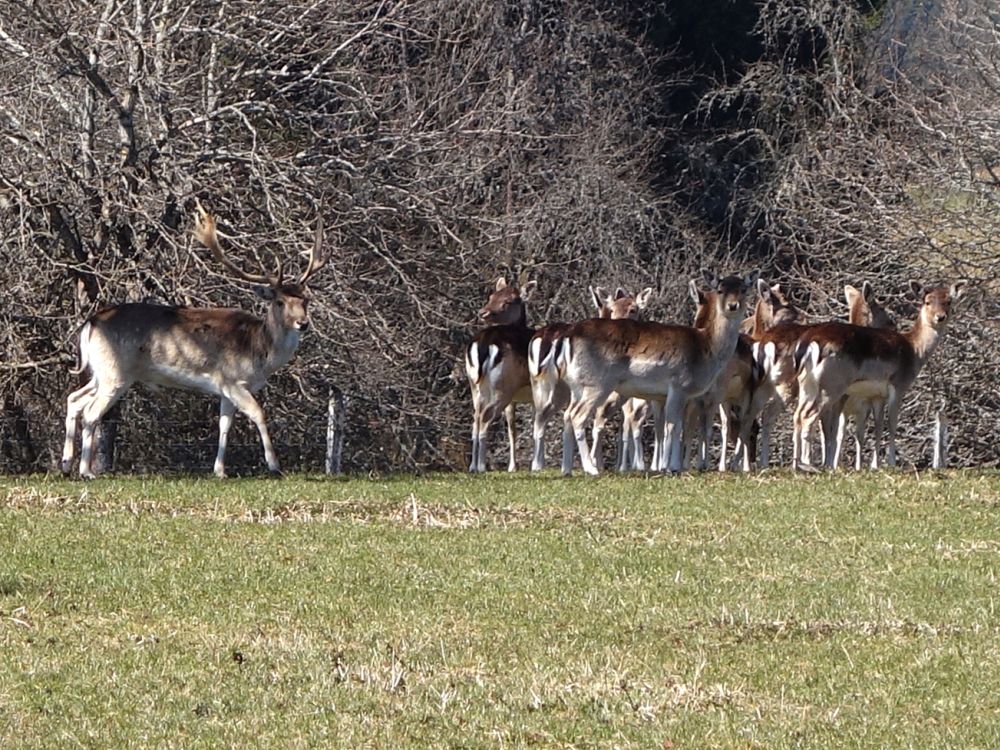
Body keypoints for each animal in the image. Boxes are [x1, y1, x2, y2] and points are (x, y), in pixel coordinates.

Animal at [60, 203, 326, 478]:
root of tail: (89, 324)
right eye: (280, 301)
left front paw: (219, 470)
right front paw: (274, 465)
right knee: (91, 412)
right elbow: (259, 414)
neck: (260, 352)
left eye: (306, 300)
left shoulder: (225, 389)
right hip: (116, 372)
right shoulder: (231, 379)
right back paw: (86, 471)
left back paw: (67, 464)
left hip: (100, 371)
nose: (303, 323)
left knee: (75, 399)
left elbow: (224, 425)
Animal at [464, 276, 536, 476]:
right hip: (502, 387)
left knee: (475, 417)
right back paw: (480, 466)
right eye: (491, 296)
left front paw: (513, 467)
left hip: (476, 386)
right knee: (485, 417)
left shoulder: (515, 399)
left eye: (508, 301)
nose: (483, 312)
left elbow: (512, 428)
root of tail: (482, 345)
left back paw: (472, 466)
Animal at [792, 282, 964, 470]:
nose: (940, 317)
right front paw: (891, 463)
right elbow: (892, 423)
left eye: (949, 301)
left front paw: (875, 465)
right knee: (808, 416)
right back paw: (809, 464)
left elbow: (878, 426)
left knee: (797, 415)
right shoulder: (898, 385)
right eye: (927, 301)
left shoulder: (876, 395)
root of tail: (808, 344)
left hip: (807, 385)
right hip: (832, 385)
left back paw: (797, 465)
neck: (915, 351)